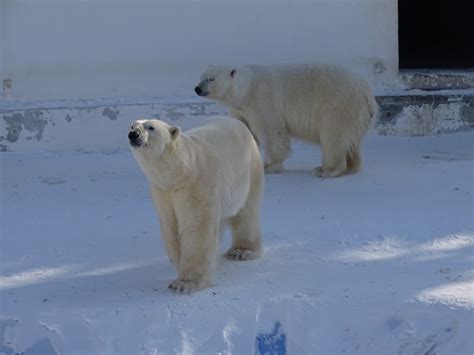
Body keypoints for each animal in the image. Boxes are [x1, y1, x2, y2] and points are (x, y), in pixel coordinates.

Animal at [128, 117, 264, 294]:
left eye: (151, 127)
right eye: (132, 125)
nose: (133, 134)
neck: (179, 172)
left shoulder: (196, 185)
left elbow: (197, 227)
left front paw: (185, 283)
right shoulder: (163, 192)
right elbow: (170, 226)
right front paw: (179, 263)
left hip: (247, 171)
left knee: (246, 212)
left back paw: (241, 251)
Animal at [193, 64, 378, 178]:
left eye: (211, 78)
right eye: (201, 76)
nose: (197, 88)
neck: (246, 89)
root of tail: (368, 95)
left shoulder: (262, 101)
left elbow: (272, 132)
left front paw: (269, 165)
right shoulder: (241, 110)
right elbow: (243, 130)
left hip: (339, 105)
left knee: (333, 137)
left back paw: (326, 169)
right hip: (356, 116)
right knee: (350, 140)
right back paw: (352, 166)